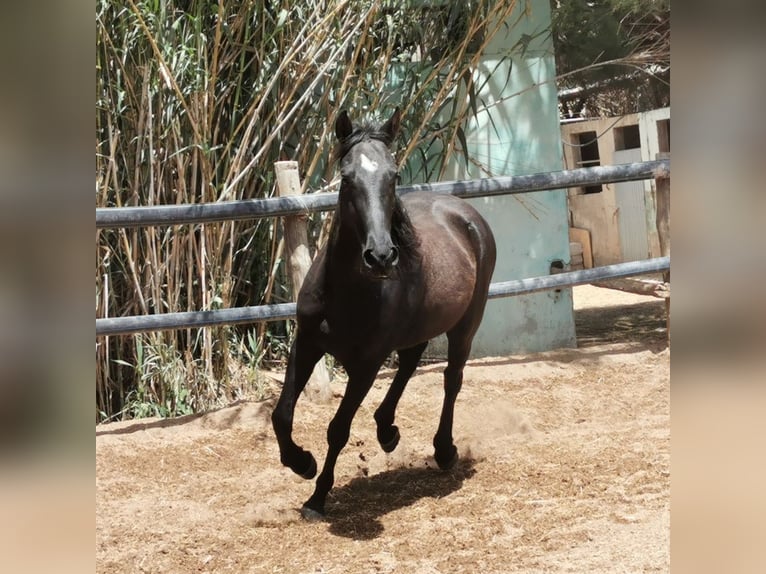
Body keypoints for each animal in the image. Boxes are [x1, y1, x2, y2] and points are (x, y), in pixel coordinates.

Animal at [272, 109, 498, 520]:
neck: (345, 293)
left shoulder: (367, 363)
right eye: (347, 177)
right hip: (421, 323)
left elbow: (338, 429)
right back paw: (387, 430)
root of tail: (466, 213)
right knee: (409, 361)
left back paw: (444, 450)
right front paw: (302, 463)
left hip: (466, 325)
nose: (380, 256)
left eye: (393, 176)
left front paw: (317, 497)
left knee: (451, 380)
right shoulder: (307, 342)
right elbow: (281, 415)